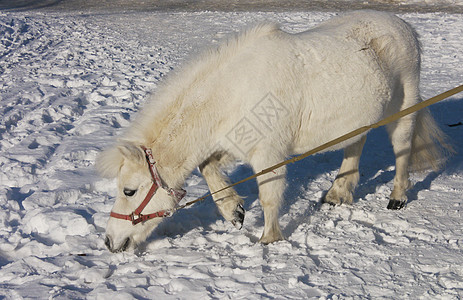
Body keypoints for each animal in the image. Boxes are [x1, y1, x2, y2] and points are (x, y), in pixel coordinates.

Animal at [97, 9, 450, 253]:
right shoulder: (235, 142)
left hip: (403, 107)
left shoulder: (268, 153)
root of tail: (403, 25)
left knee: (402, 148)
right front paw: (233, 211)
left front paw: (269, 239)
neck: (233, 92)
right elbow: (207, 166)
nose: (109, 241)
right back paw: (338, 193)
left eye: (129, 191)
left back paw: (397, 197)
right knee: (356, 144)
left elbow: (269, 196)